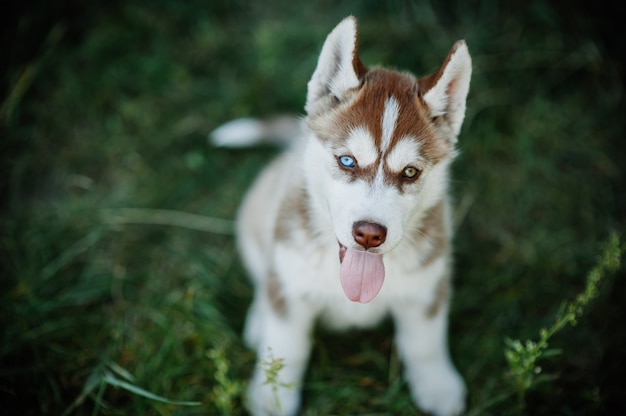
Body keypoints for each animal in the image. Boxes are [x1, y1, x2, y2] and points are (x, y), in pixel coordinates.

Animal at [210, 16, 468, 416]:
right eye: (347, 160)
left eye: (410, 172)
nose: (369, 234)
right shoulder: (291, 283)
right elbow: (286, 346)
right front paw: (273, 397)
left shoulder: (427, 284)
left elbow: (425, 343)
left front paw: (438, 387)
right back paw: (257, 318)